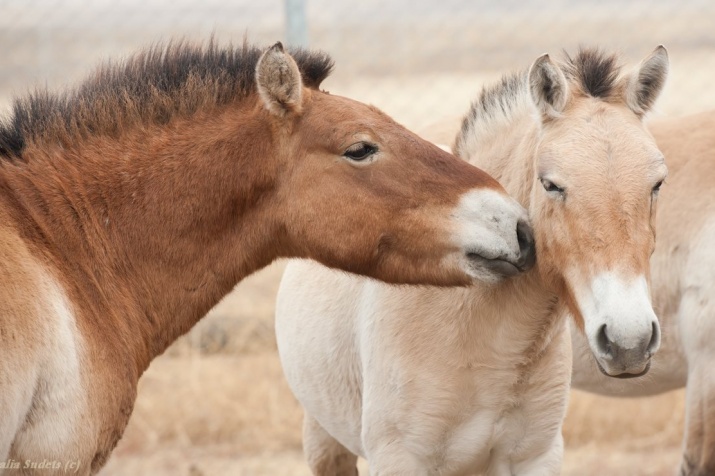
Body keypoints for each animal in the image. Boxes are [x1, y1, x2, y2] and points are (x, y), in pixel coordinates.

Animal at [276, 45, 668, 476]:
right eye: (551, 184)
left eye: (657, 183)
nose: (629, 341)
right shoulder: (399, 459)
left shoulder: (536, 456)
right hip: (324, 439)